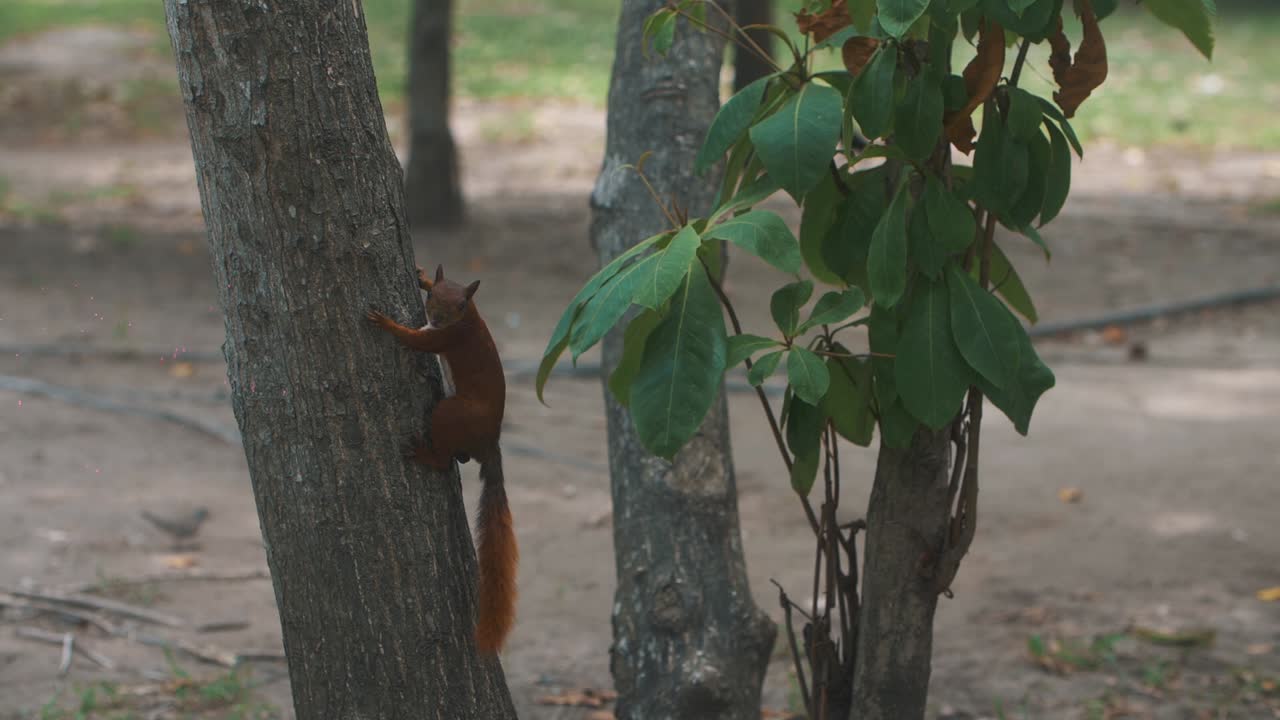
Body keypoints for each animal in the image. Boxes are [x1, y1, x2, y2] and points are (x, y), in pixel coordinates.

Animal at [366, 264, 517, 656]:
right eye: (434, 297)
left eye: (460, 304)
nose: (435, 317)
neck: (471, 317)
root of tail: (489, 444)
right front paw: (421, 276)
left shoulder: (447, 337)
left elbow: (416, 341)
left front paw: (385, 322)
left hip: (450, 413)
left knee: (445, 461)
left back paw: (424, 454)